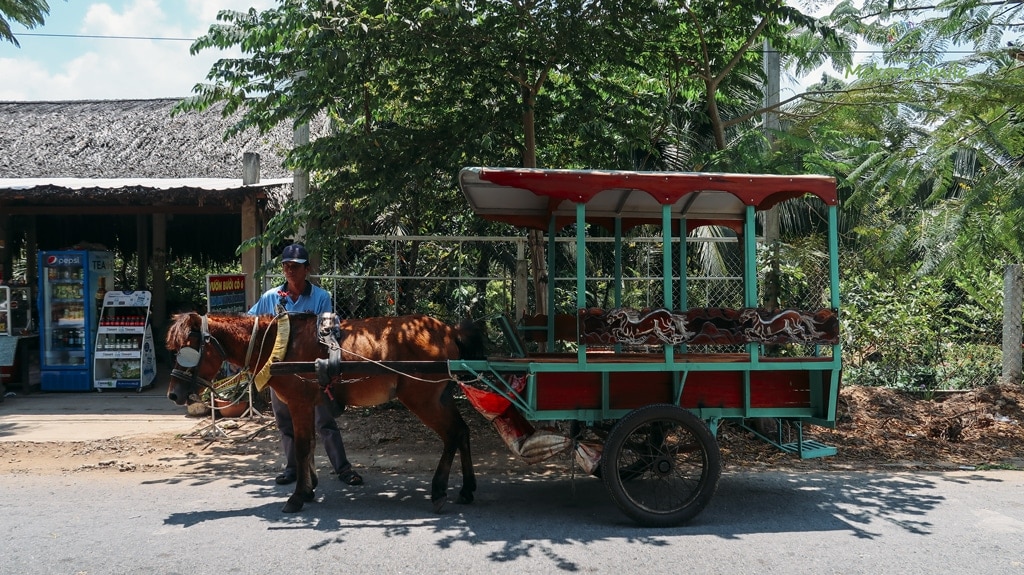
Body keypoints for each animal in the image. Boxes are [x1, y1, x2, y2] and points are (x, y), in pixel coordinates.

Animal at [165, 311, 485, 511]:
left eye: (187, 350)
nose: (173, 394)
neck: (277, 344)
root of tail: (447, 330)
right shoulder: (308, 405)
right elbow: (310, 444)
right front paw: (308, 489)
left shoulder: (299, 403)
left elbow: (302, 447)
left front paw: (297, 497)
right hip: (439, 397)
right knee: (463, 431)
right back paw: (467, 489)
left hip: (422, 399)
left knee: (452, 435)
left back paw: (439, 490)